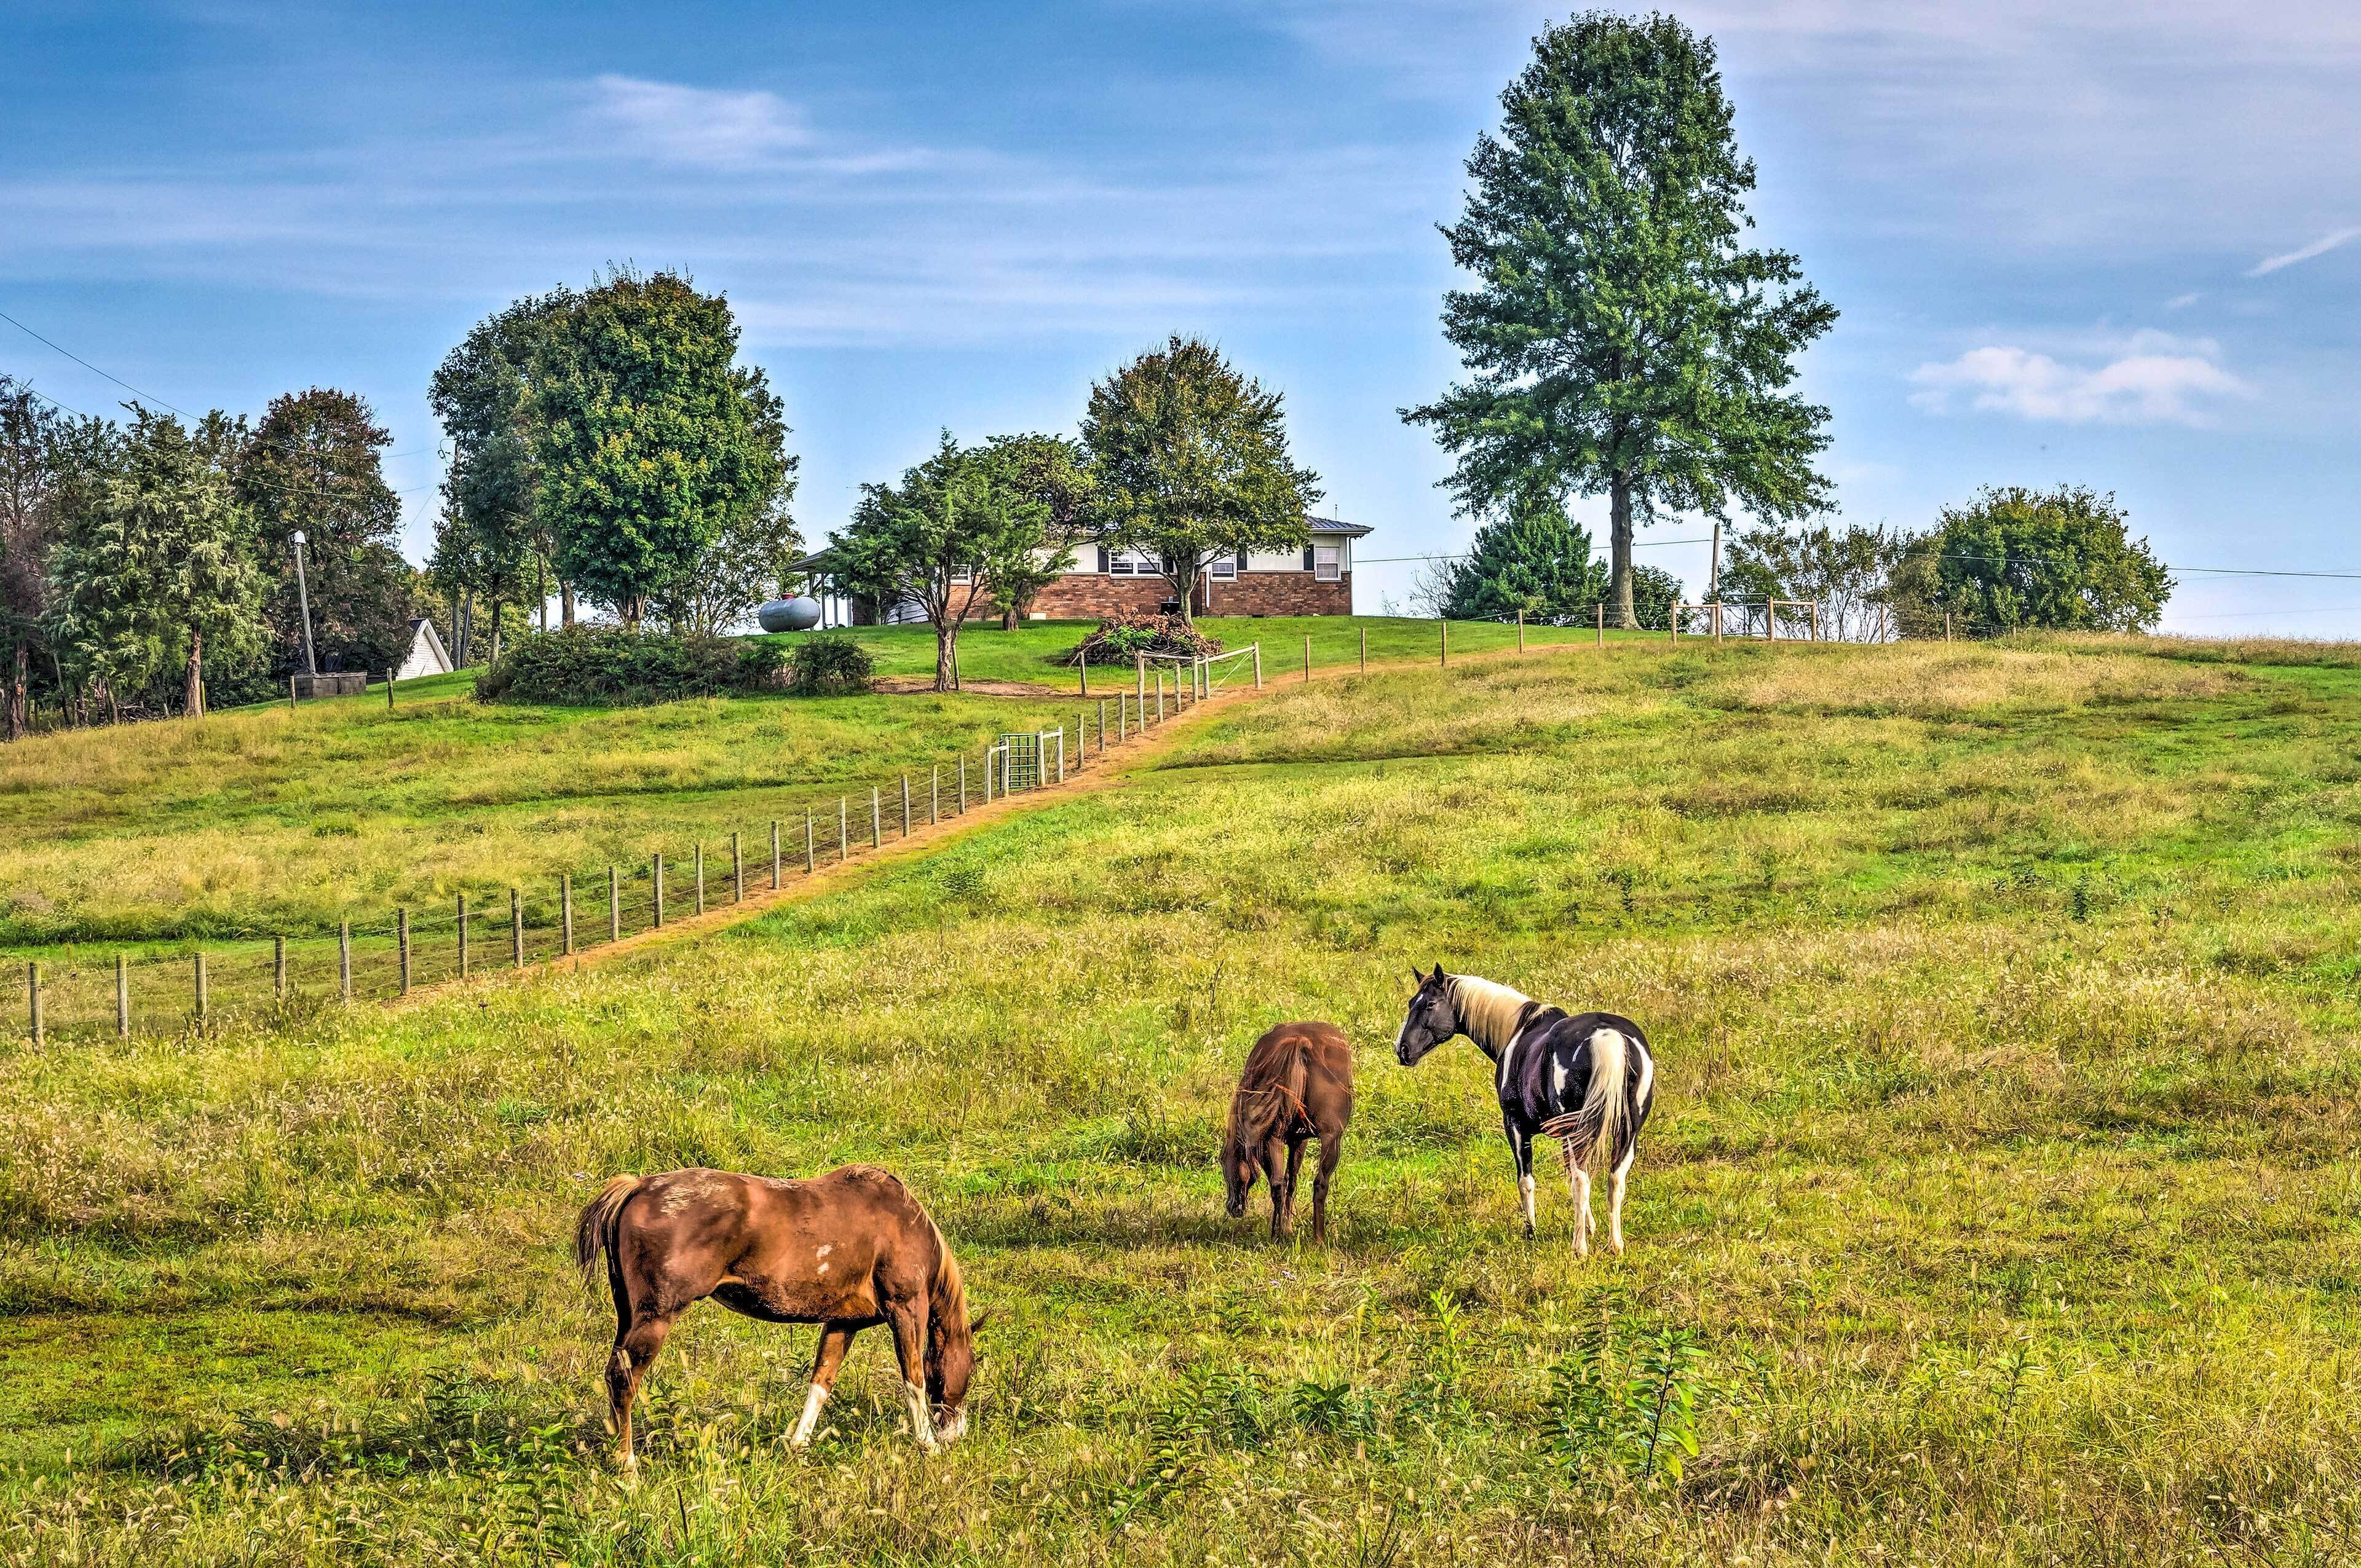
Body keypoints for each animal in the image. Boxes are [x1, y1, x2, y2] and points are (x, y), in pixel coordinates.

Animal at [573, 1163, 981, 1472]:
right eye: (972, 1366)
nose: (957, 1432)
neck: (904, 1224)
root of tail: (638, 1187)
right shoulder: (906, 1309)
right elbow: (914, 1378)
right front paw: (927, 1443)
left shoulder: (843, 1323)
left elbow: (821, 1383)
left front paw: (798, 1443)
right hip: (655, 1318)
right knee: (623, 1379)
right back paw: (628, 1464)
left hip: (628, 1317)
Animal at [1223, 1020, 1355, 1243]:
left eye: (1222, 1162)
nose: (1233, 1208)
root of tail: (1301, 1043)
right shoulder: (1298, 1140)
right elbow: (1290, 1182)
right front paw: (1288, 1227)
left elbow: (1286, 1182)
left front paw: (1286, 1227)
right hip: (1330, 1139)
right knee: (1317, 1184)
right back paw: (1317, 1238)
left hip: (1274, 1139)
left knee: (1278, 1184)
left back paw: (1276, 1235)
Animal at [1391, 965, 1656, 1255]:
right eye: (1411, 1003)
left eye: (1429, 1004)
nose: (1402, 1049)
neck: (1518, 1031)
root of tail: (1608, 1036)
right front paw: (1590, 1226)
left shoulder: (1515, 1126)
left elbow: (1526, 1181)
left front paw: (1531, 1232)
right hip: (1626, 1132)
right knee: (1614, 1180)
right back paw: (1615, 1244)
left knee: (1581, 1182)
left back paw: (1579, 1248)